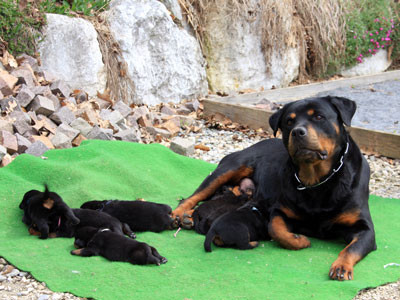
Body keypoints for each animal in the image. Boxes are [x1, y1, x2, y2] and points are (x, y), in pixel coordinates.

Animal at [172, 96, 376, 282]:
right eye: (289, 121)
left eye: (319, 116)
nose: (298, 131)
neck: (317, 181)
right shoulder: (280, 210)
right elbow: (275, 229)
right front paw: (299, 240)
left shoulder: (365, 229)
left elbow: (352, 248)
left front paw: (341, 266)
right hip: (229, 168)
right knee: (195, 196)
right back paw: (178, 215)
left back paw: (189, 217)